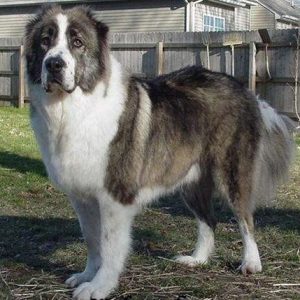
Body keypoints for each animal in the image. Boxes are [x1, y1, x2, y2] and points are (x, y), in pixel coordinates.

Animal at [24, 4, 296, 300]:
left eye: (77, 42)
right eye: (45, 41)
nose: (54, 64)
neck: (75, 107)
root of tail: (245, 91)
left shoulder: (114, 198)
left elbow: (109, 247)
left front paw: (100, 286)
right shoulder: (82, 198)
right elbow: (92, 240)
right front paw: (87, 274)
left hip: (232, 174)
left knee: (245, 220)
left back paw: (251, 263)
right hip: (191, 181)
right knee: (208, 220)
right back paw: (197, 259)